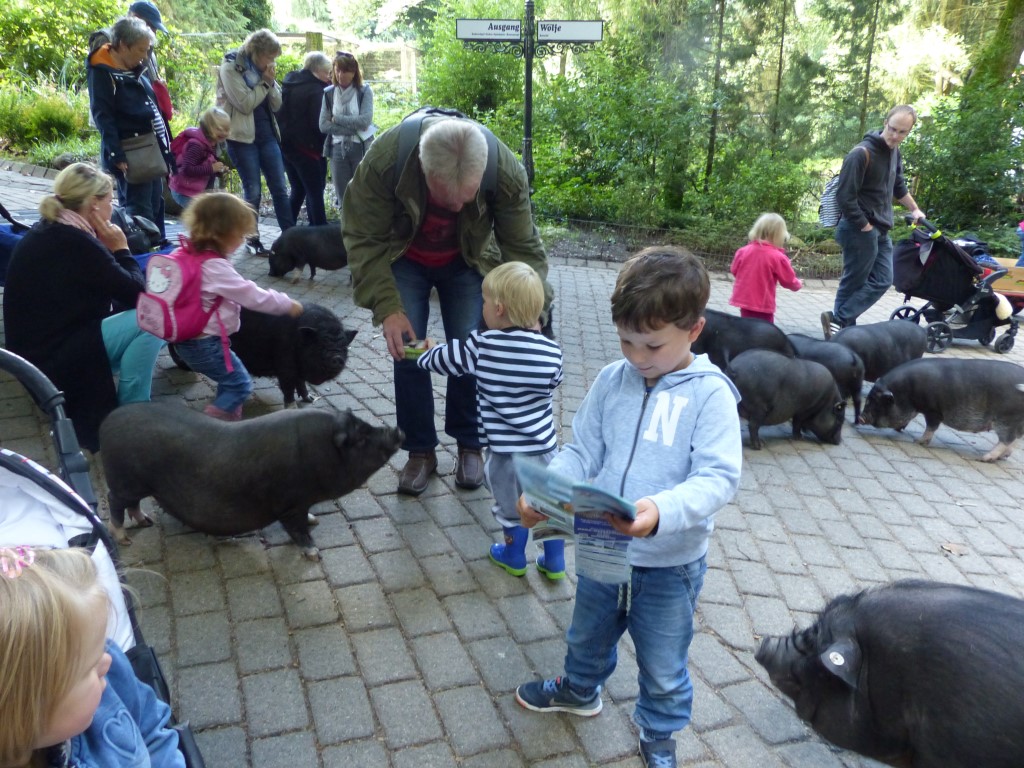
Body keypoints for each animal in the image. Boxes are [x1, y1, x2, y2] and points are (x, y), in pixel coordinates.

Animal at [98, 403, 403, 561]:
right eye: (360, 438)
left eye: (366, 425)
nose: (397, 430)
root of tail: (107, 421)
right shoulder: (290, 503)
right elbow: (297, 530)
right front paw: (315, 553)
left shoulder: (301, 503)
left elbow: (306, 520)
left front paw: (315, 520)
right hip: (125, 480)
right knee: (114, 501)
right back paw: (124, 539)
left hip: (137, 485)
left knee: (133, 505)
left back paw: (146, 522)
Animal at [860, 358, 1024, 460]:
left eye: (873, 401)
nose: (861, 418)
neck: (907, 393)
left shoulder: (933, 410)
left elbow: (931, 426)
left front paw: (917, 441)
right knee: (1014, 440)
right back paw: (1003, 457)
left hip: (1006, 419)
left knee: (1007, 439)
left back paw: (985, 458)